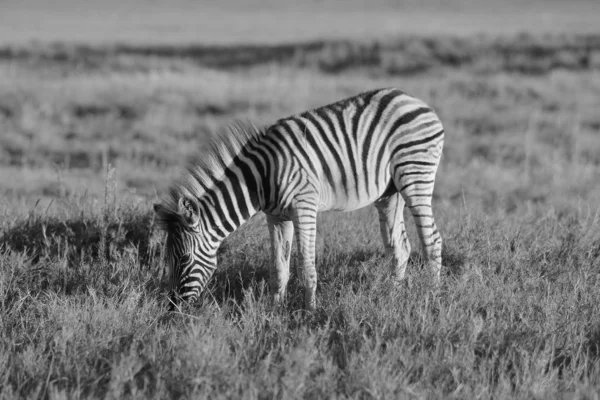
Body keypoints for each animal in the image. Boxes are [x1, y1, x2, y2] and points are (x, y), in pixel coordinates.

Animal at [154, 87, 446, 310]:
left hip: (415, 174)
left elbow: (306, 265)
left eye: (183, 259)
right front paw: (275, 312)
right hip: (389, 193)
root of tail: (415, 100)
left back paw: (431, 297)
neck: (260, 178)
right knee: (400, 247)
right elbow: (278, 267)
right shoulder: (276, 216)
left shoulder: (304, 206)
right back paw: (392, 296)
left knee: (432, 240)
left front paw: (310, 313)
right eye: (167, 258)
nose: (172, 308)